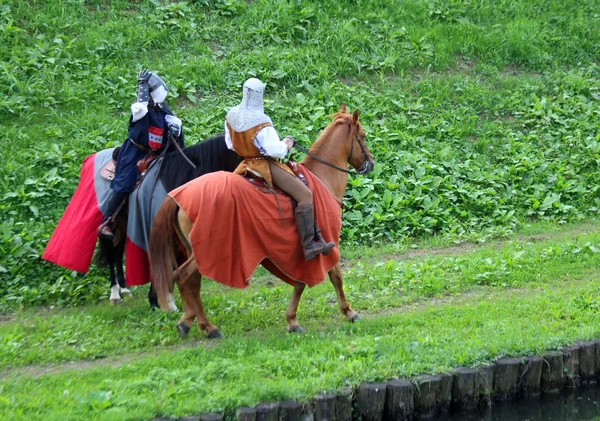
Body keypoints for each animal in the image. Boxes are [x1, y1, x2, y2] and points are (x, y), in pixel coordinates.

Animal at [94, 133, 241, 306]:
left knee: (117, 251)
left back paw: (124, 289)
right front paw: (157, 301)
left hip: (123, 225)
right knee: (110, 250)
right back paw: (115, 294)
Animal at [149, 105, 372, 338]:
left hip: (195, 251)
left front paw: (292, 320)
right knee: (183, 276)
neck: (321, 177)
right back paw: (204, 326)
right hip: (205, 251)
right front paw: (349, 312)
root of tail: (178, 195)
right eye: (363, 136)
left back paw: (194, 322)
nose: (371, 163)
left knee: (192, 282)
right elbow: (334, 276)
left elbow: (300, 282)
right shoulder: (327, 242)